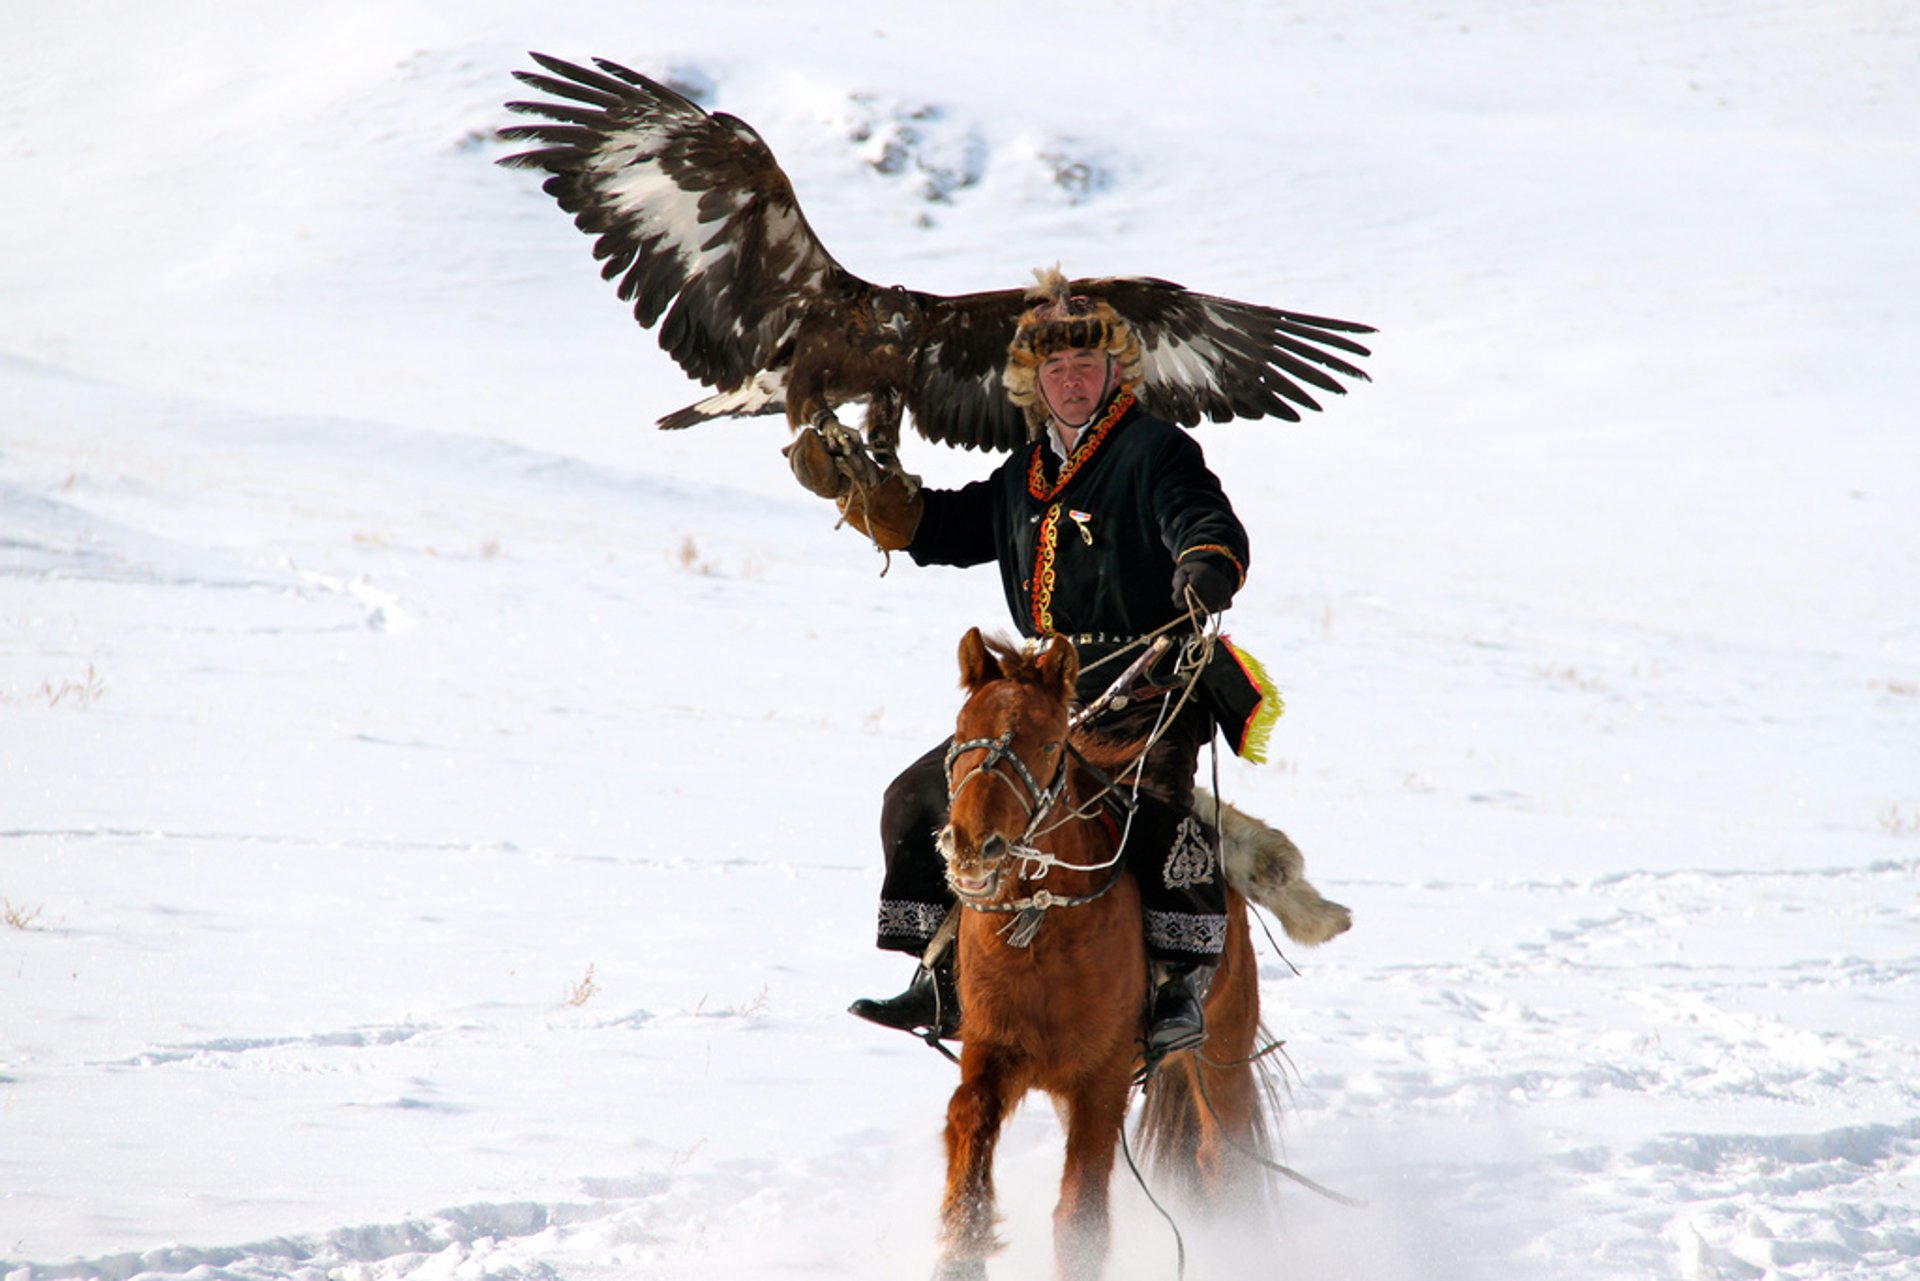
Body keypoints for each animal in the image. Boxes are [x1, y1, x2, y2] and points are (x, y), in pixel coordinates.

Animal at [933, 629, 1274, 1281]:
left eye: (1047, 742)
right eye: (961, 731)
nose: (972, 847)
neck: (1042, 927)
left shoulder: (1103, 1079)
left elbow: (1080, 1222)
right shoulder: (991, 1053)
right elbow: (967, 1135)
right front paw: (962, 1249)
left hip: (1225, 1051)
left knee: (1225, 1161)